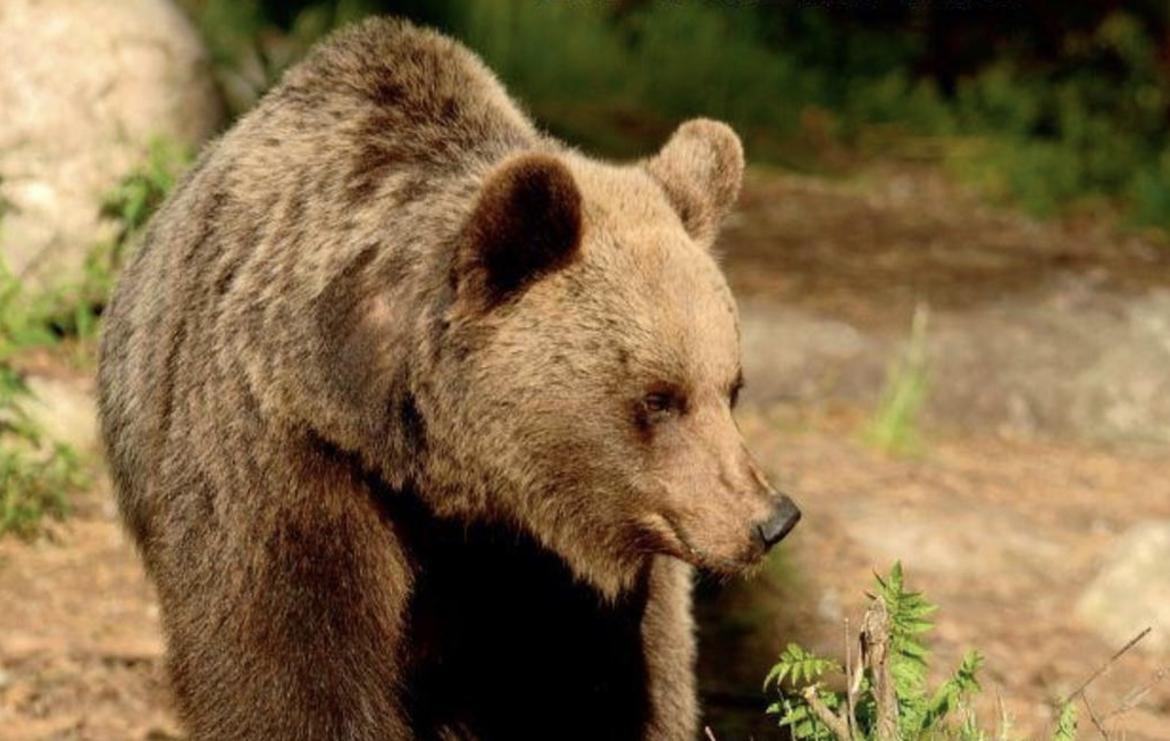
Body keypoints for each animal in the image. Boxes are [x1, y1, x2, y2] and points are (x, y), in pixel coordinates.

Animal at [97, 17, 800, 741]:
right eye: (659, 397)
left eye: (731, 387)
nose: (771, 519)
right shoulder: (285, 453)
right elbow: (290, 669)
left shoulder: (562, 569)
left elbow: (608, 685)